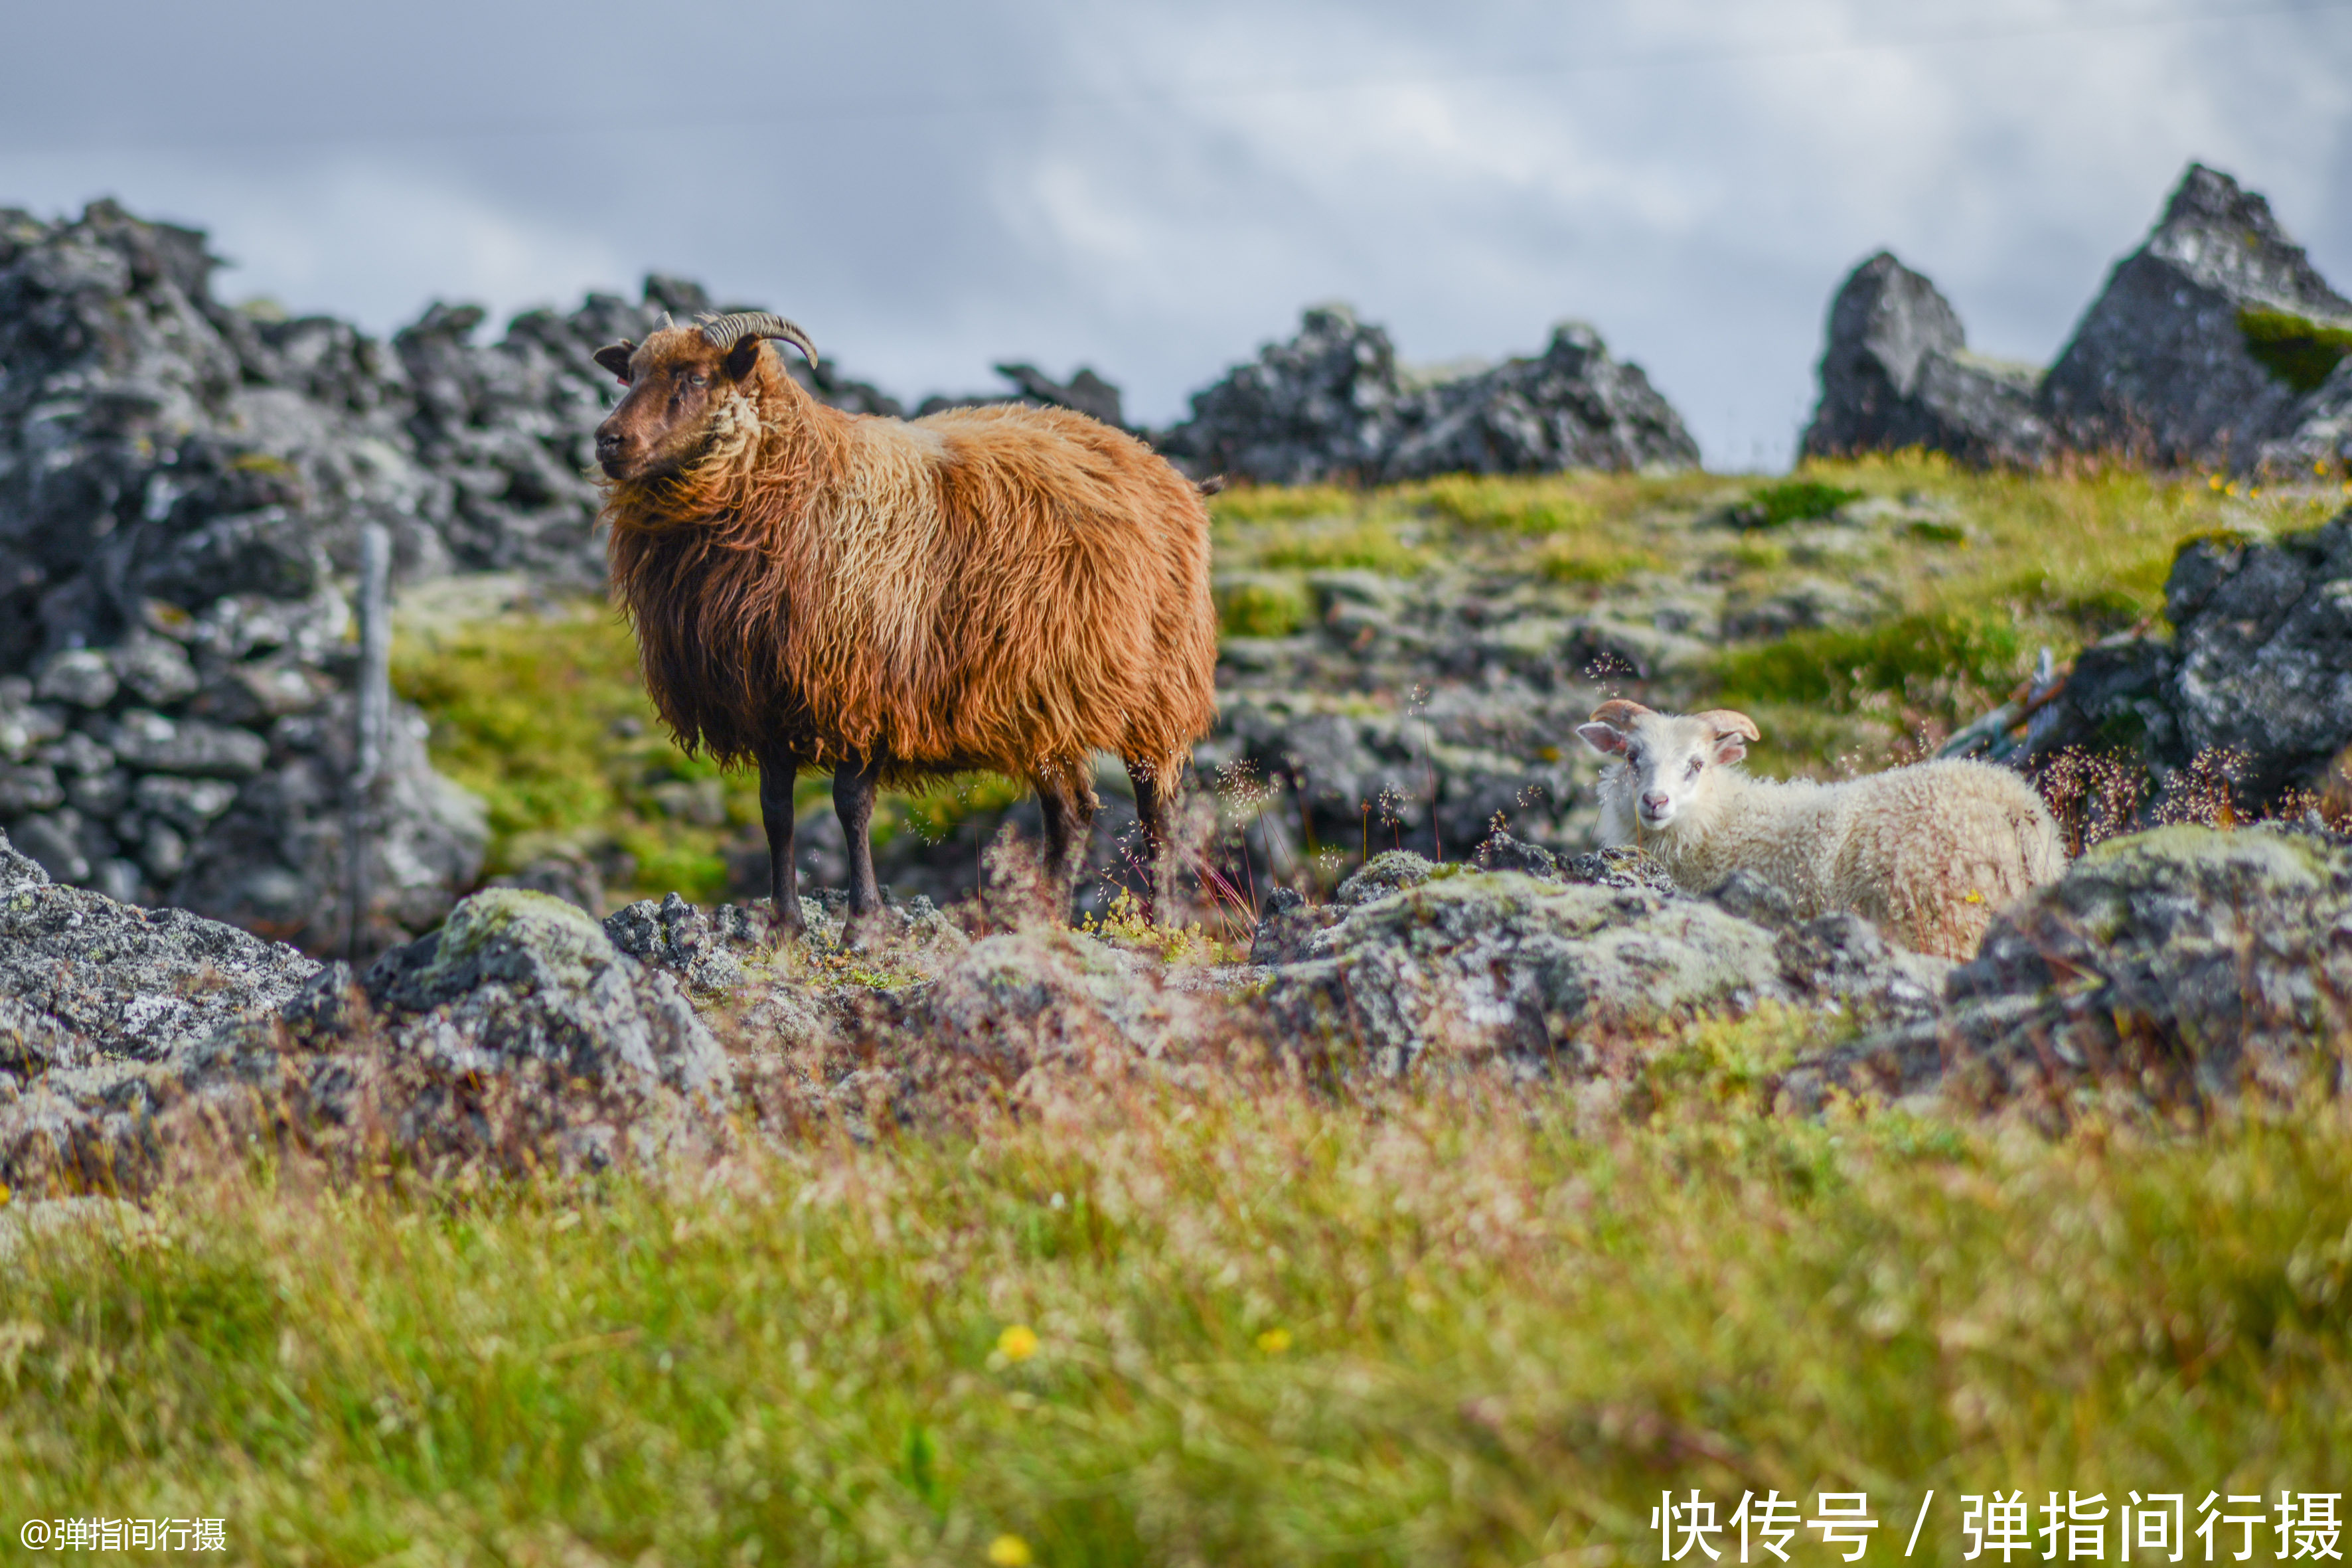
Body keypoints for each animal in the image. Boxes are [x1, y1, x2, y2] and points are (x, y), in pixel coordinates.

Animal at [588, 312, 1223, 940]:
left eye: (696, 377)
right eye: (632, 374)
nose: (607, 440)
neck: (800, 484)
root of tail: (1166, 471)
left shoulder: (867, 687)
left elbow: (850, 805)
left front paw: (863, 925)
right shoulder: (765, 700)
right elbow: (776, 813)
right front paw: (784, 925)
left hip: (1157, 689)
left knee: (1156, 809)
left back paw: (1162, 923)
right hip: (1043, 705)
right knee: (1070, 811)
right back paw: (1040, 923)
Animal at [1580, 700, 2060, 959]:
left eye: (1696, 765)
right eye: (1631, 757)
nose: (1654, 802)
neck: (1720, 819)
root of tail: (2013, 805)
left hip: (1947, 917)